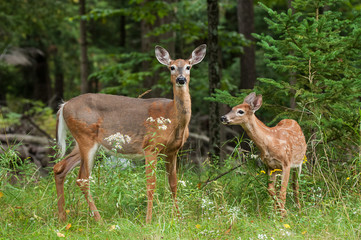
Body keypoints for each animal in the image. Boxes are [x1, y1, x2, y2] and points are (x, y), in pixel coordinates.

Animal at [53, 44, 205, 223]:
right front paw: (148, 221)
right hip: (86, 137)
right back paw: (99, 220)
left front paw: (179, 218)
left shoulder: (173, 151)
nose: (181, 79)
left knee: (60, 168)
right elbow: (151, 185)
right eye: (172, 67)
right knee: (82, 178)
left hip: (83, 142)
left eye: (188, 67)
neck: (172, 118)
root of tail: (64, 106)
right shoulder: (150, 146)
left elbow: (173, 183)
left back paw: (62, 218)